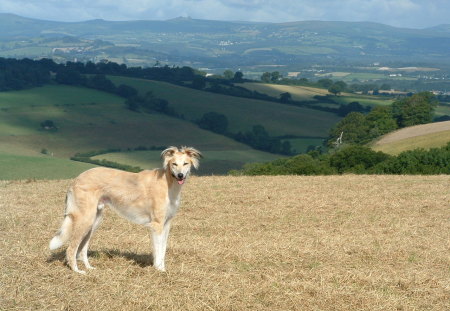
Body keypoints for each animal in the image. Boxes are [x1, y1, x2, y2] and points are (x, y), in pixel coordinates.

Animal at [48, 146, 201, 272]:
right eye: (174, 164)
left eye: (185, 163)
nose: (180, 175)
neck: (168, 183)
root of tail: (75, 180)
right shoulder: (156, 225)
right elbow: (158, 251)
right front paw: (158, 270)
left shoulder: (166, 224)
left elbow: (163, 249)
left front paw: (162, 269)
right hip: (86, 219)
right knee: (71, 249)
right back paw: (77, 271)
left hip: (94, 221)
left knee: (82, 250)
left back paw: (89, 268)